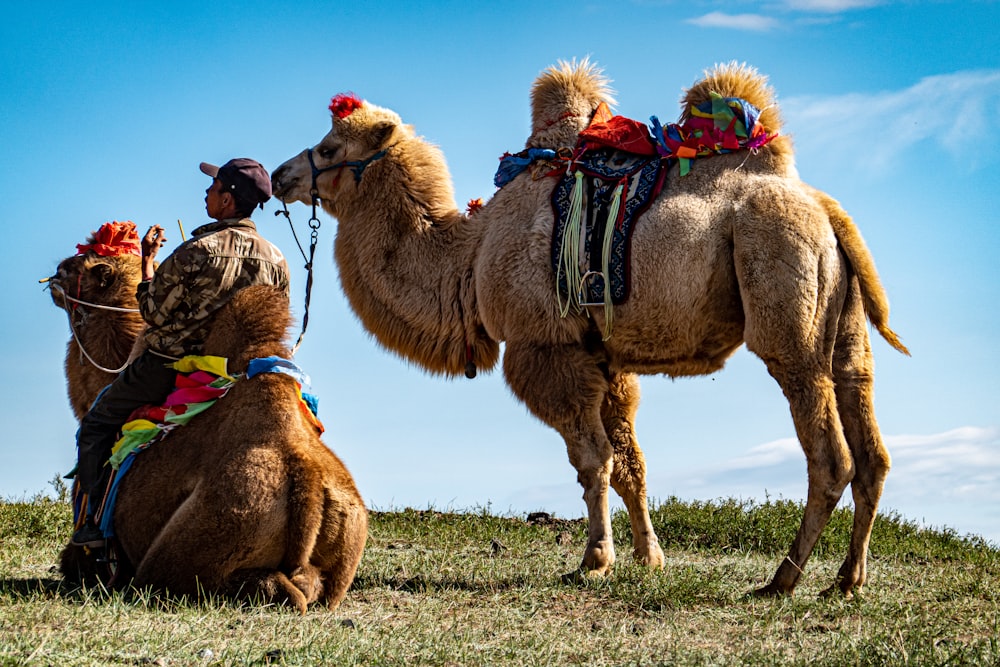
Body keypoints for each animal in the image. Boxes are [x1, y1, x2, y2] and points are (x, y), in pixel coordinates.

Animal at [272, 60, 908, 596]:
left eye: (328, 147)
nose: (280, 174)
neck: (468, 258)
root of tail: (824, 208)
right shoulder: (604, 356)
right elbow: (630, 463)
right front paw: (649, 558)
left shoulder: (546, 348)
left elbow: (591, 459)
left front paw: (594, 560)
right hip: (847, 327)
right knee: (871, 443)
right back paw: (846, 581)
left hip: (783, 294)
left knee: (830, 453)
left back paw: (782, 579)